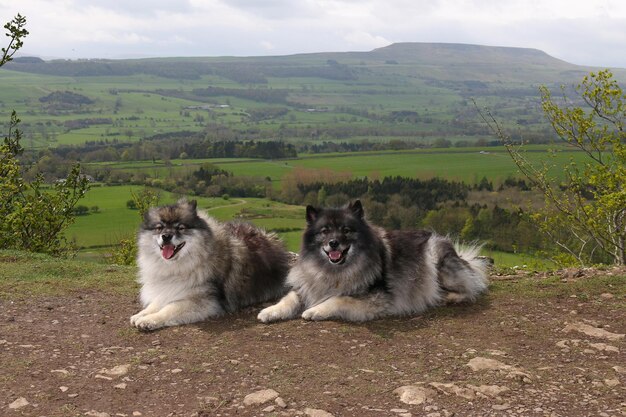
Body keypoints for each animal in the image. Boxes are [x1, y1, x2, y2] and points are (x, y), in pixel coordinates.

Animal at [131, 199, 290, 332]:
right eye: (159, 228)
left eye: (181, 228)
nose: (166, 236)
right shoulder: (169, 289)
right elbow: (156, 303)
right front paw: (141, 314)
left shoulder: (203, 301)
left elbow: (168, 309)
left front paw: (149, 320)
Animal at [258, 200, 488, 324]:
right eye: (324, 231)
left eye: (346, 230)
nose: (333, 243)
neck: (335, 271)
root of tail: (460, 255)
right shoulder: (307, 286)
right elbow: (289, 298)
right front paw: (270, 311)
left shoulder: (376, 299)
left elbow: (338, 299)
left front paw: (315, 310)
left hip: (438, 261)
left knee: (471, 288)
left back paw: (448, 297)